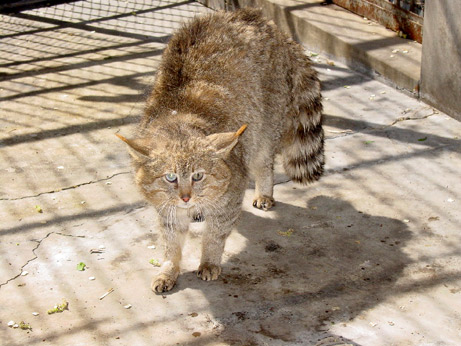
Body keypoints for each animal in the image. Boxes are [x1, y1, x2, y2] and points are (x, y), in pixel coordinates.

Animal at [116, 8, 324, 292]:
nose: (186, 198)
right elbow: (171, 241)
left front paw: (209, 259)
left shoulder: (231, 191)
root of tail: (268, 24)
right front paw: (169, 267)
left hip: (264, 124)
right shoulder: (165, 207)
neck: (178, 117)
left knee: (263, 161)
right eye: (170, 177)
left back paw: (264, 189)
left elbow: (215, 234)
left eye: (198, 175)